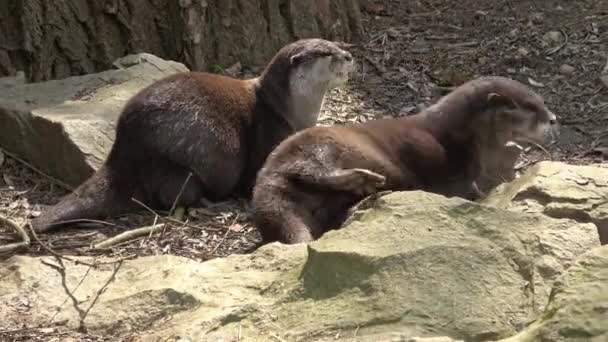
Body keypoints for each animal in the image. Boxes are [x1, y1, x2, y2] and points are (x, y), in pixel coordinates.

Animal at [32, 38, 356, 232]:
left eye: (334, 45)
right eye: (326, 53)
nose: (349, 55)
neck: (285, 108)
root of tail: (124, 151)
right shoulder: (271, 131)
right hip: (197, 158)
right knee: (177, 196)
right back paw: (215, 205)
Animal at [252, 76, 560, 244]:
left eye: (542, 101)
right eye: (531, 107)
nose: (554, 119)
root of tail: (266, 181)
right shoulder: (436, 158)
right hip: (319, 147)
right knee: (314, 171)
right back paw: (367, 180)